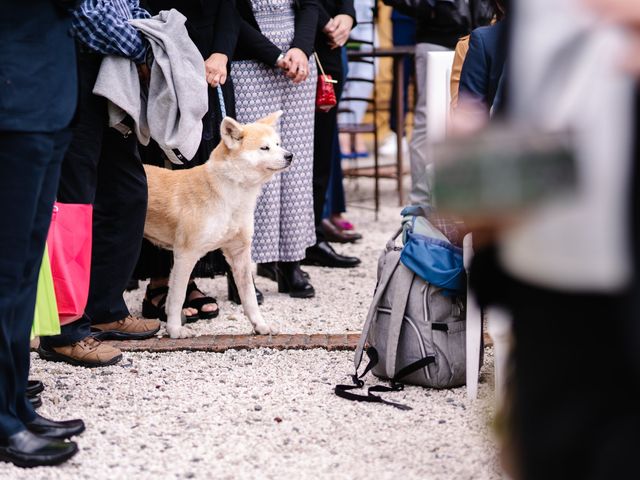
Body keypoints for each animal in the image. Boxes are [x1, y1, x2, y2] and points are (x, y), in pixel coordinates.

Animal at [143, 110, 290, 340]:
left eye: (278, 144)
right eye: (264, 148)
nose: (290, 155)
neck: (231, 193)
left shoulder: (239, 253)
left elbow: (250, 298)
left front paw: (261, 325)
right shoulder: (185, 254)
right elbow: (176, 297)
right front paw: (175, 330)